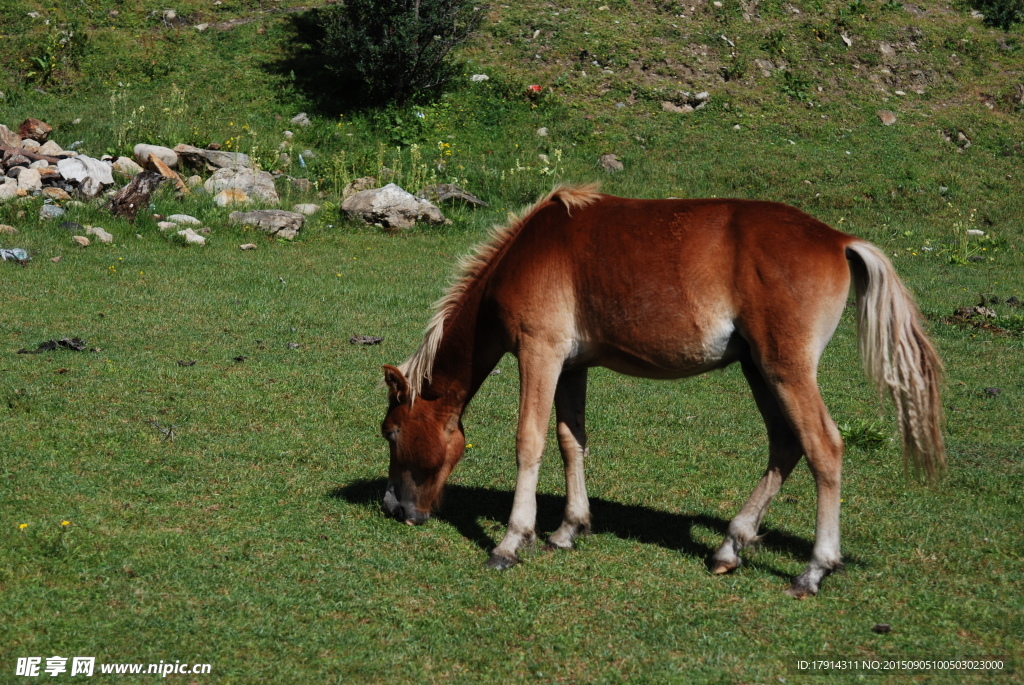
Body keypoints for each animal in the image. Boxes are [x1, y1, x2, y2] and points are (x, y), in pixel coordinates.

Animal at [382, 184, 942, 593]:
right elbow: (570, 441)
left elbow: (530, 441)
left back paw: (814, 569)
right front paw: (568, 529)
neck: (528, 251)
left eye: (390, 433)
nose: (393, 508)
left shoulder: (541, 354)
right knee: (786, 446)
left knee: (823, 448)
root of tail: (837, 239)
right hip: (759, 370)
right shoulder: (572, 365)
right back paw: (729, 547)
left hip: (785, 370)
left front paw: (511, 542)